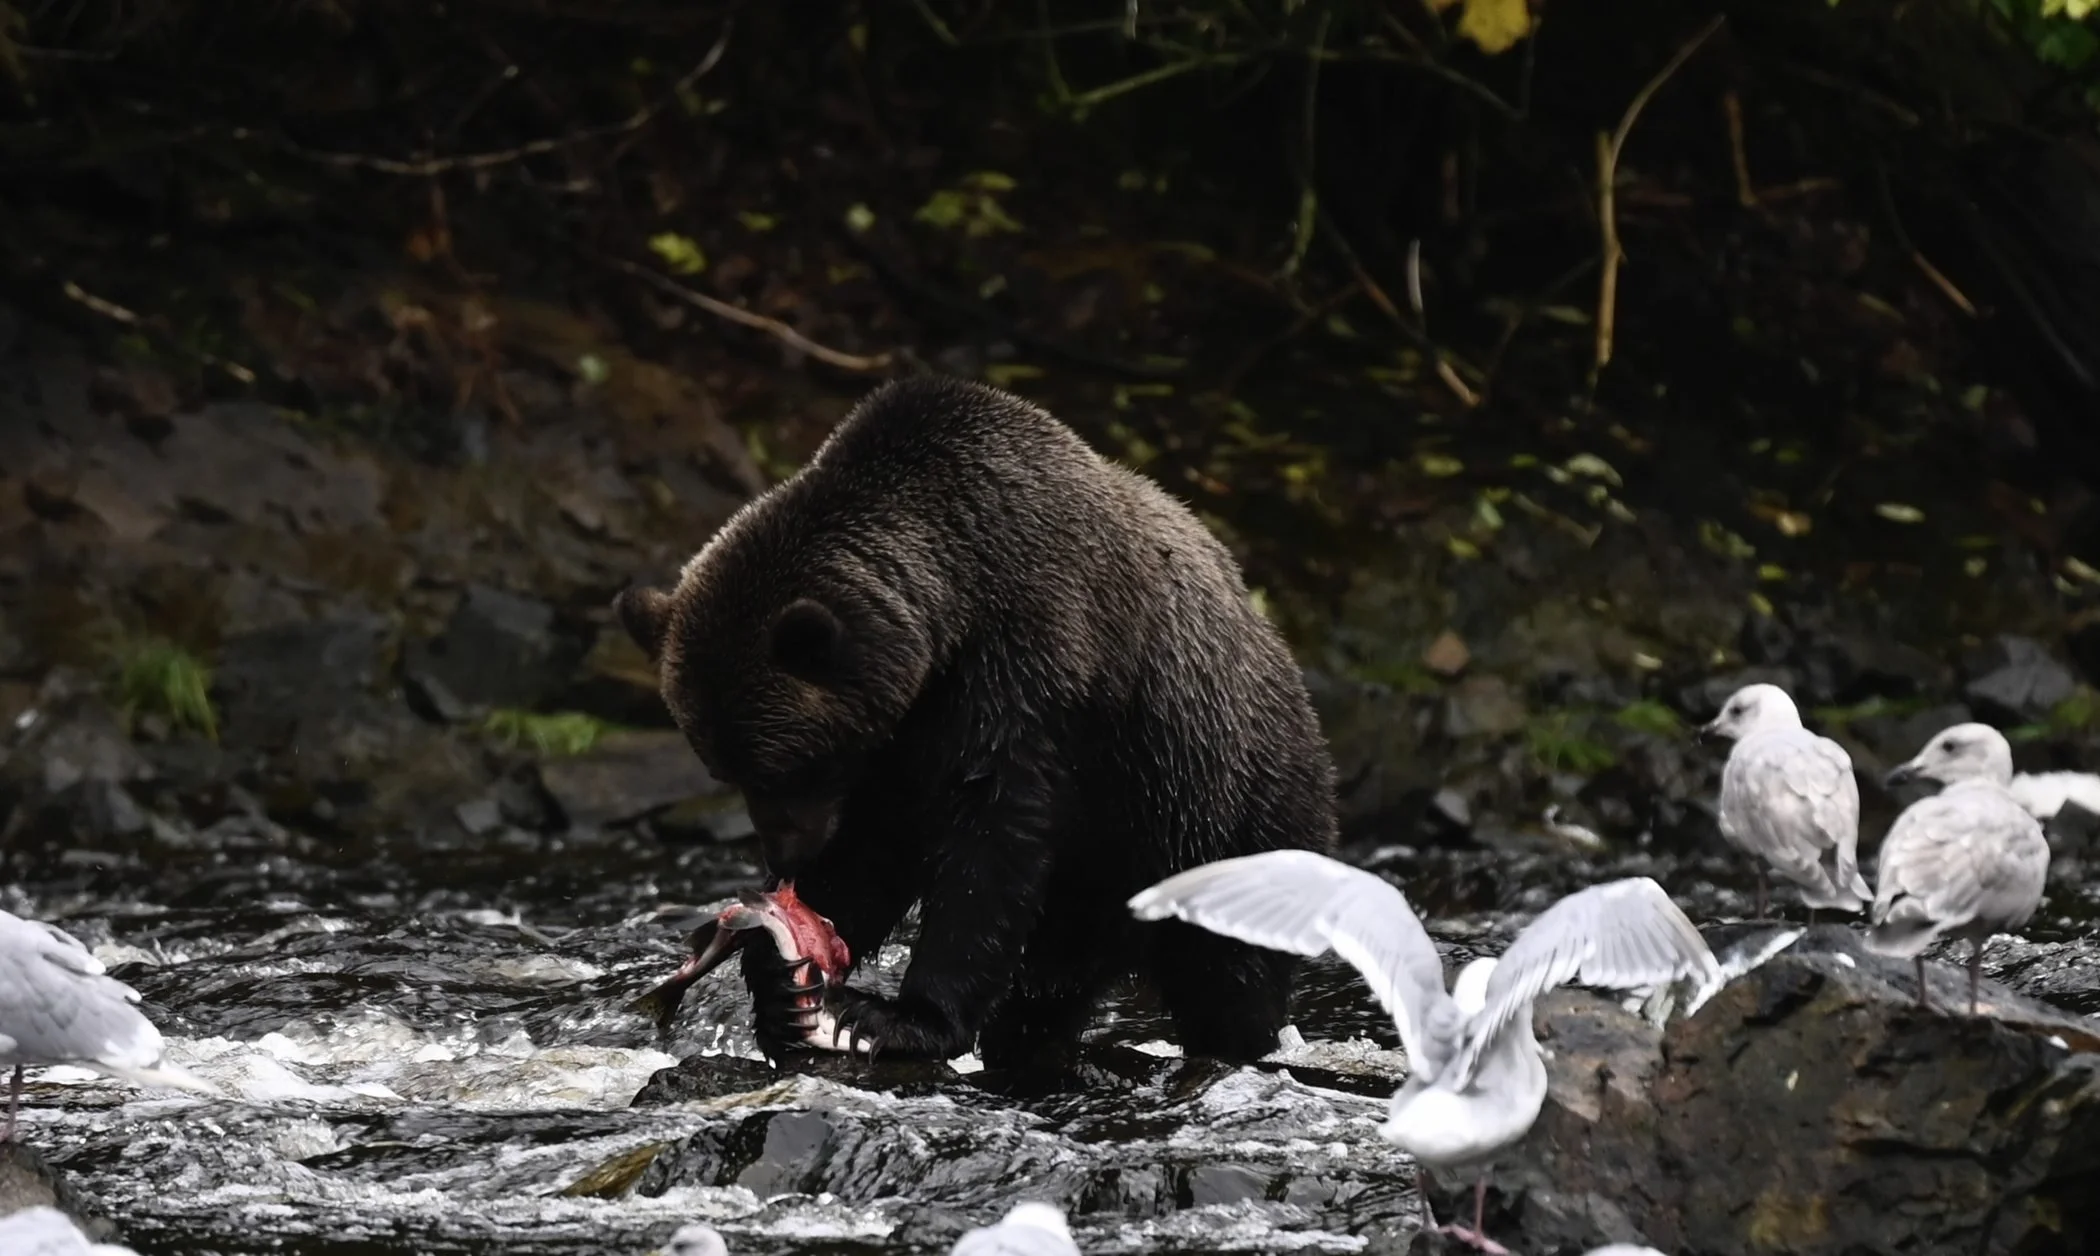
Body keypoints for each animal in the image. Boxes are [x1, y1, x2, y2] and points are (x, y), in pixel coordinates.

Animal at [615, 376, 1338, 1068]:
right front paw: (780, 984)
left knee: (1227, 974)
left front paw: (894, 1017)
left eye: (786, 766)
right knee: (1059, 979)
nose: (784, 857)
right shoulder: (902, 741)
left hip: (1218, 806)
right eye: (725, 770)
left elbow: (991, 839)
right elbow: (874, 852)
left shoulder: (1028, 677)